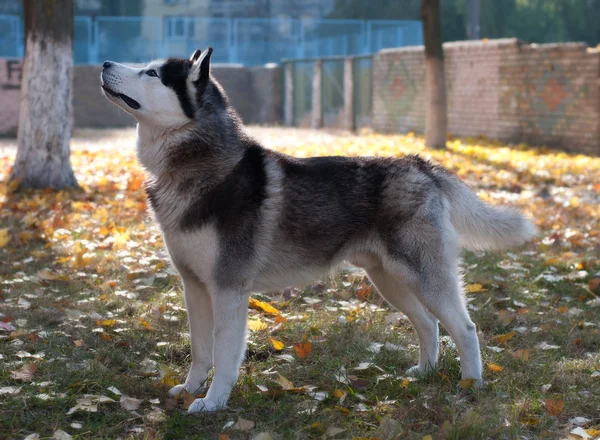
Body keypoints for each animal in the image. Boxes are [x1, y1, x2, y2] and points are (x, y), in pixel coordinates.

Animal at [101, 48, 536, 412]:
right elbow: (200, 350)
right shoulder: (194, 287)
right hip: (389, 280)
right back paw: (424, 372)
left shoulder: (228, 289)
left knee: (464, 327)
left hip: (425, 277)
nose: (104, 63)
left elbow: (224, 354)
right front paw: (191, 389)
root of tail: (420, 164)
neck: (198, 164)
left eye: (152, 73)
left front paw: (213, 403)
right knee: (427, 324)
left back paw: (470, 385)